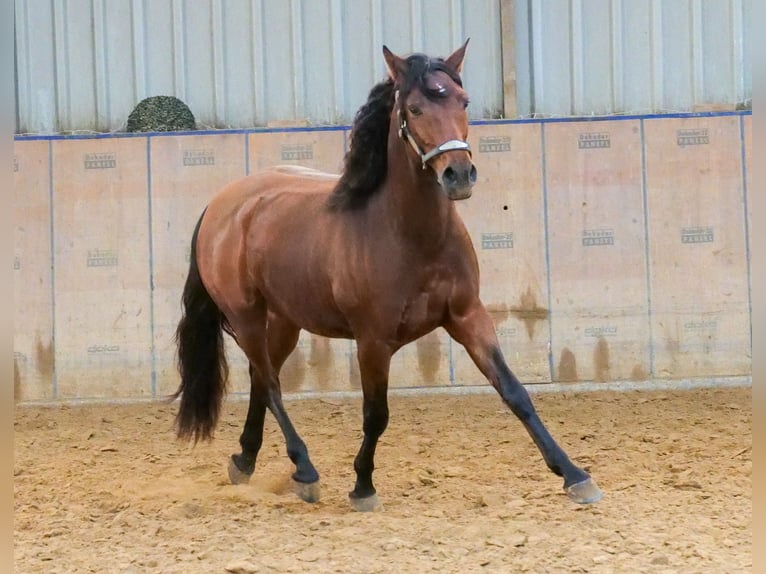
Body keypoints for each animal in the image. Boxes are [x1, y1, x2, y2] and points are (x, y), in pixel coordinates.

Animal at [171, 42, 604, 516]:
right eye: (414, 108)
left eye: (463, 101)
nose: (459, 175)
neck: (410, 236)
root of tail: (221, 203)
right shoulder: (373, 340)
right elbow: (375, 414)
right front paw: (363, 486)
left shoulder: (468, 317)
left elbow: (514, 392)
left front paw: (575, 476)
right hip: (246, 316)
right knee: (270, 383)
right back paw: (304, 470)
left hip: (285, 319)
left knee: (260, 378)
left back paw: (245, 460)